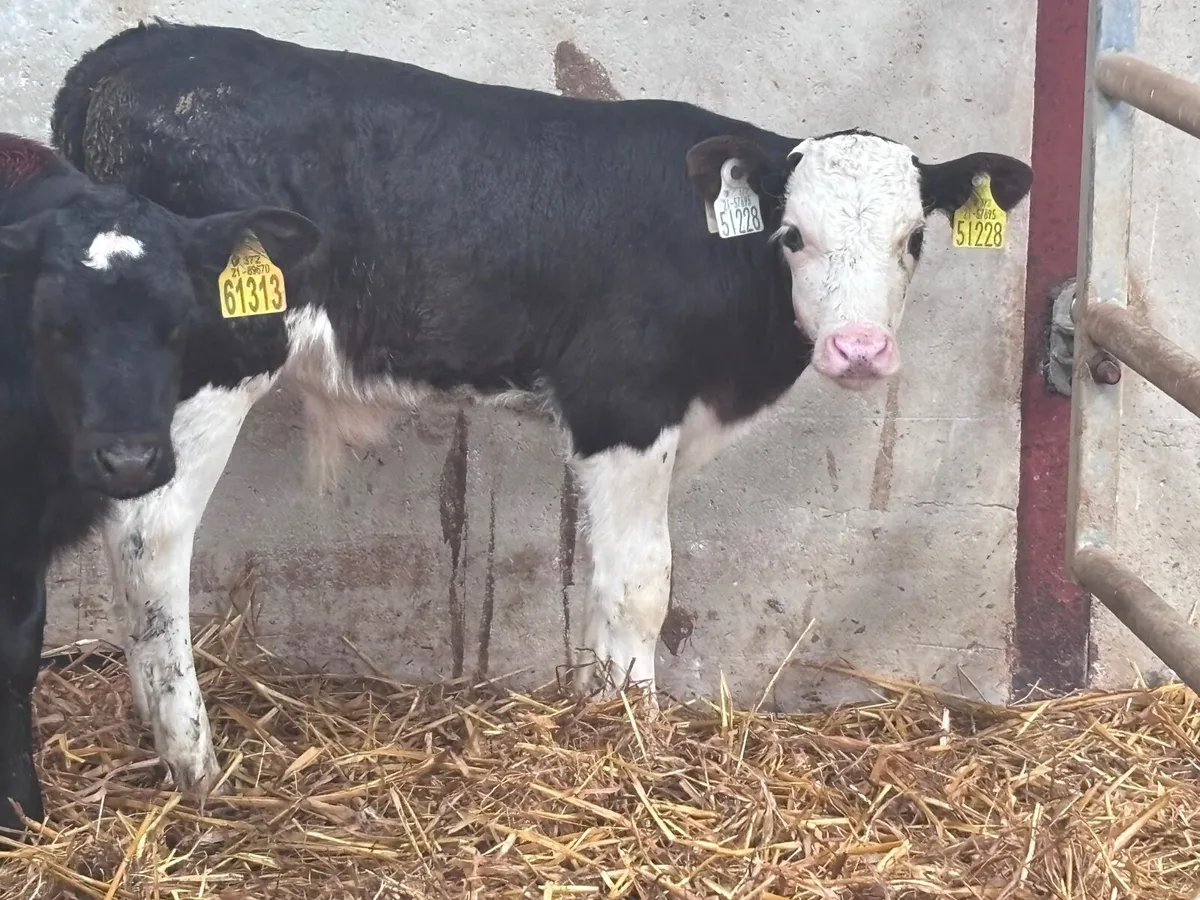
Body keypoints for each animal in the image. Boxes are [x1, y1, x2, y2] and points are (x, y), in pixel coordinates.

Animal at [0, 132, 320, 835]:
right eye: (55, 322)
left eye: (180, 320)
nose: (128, 461)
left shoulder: (26, 539)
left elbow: (16, 655)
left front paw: (19, 811)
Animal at [50, 20, 1033, 802]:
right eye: (793, 235)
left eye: (913, 238)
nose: (859, 349)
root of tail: (139, 47)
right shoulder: (624, 401)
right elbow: (642, 582)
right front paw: (637, 737)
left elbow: (601, 575)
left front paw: (600, 715)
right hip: (216, 362)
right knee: (150, 535)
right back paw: (192, 760)